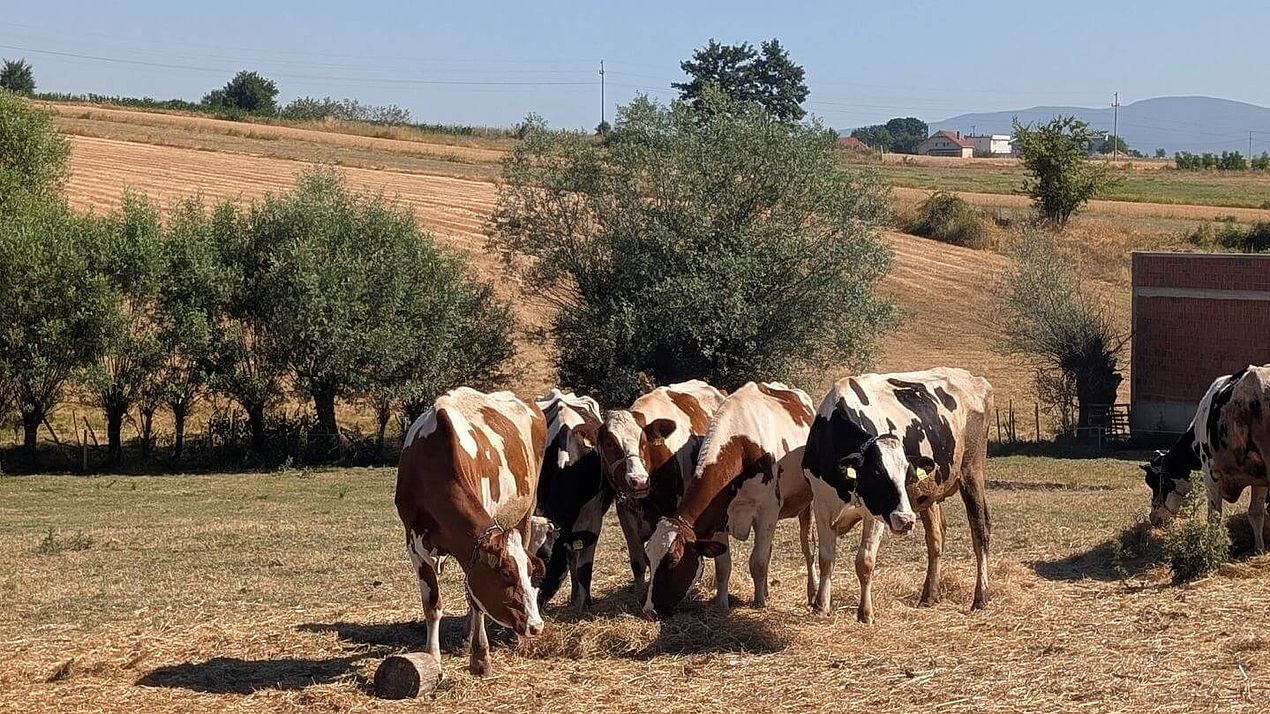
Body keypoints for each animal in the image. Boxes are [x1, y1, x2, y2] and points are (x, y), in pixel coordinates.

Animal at [394, 387, 547, 676]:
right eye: (506, 573)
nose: (536, 626)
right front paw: (434, 659)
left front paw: (480, 657)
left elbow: (475, 601)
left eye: (530, 572)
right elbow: (432, 605)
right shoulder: (414, 543)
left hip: (527, 507)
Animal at [643, 382, 817, 618]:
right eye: (648, 557)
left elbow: (758, 561)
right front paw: (722, 603)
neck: (741, 445)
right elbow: (724, 565)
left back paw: (812, 592)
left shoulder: (766, 513)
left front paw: (759, 603)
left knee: (807, 547)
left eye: (673, 561)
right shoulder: (718, 518)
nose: (649, 610)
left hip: (807, 503)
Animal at [803, 368, 992, 623]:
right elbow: (826, 558)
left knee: (980, 531)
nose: (905, 520)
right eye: (876, 473)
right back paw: (929, 596)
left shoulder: (876, 515)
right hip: (929, 494)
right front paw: (821, 606)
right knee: (936, 538)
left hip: (972, 470)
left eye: (907, 476)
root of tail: (971, 377)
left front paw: (866, 613)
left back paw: (980, 597)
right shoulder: (822, 504)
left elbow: (865, 561)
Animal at [1141, 365, 1270, 552]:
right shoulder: (1258, 479)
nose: (1153, 518)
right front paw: (1259, 549)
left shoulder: (1211, 475)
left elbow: (1214, 517)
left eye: (1155, 483)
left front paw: (1211, 551)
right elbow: (1256, 513)